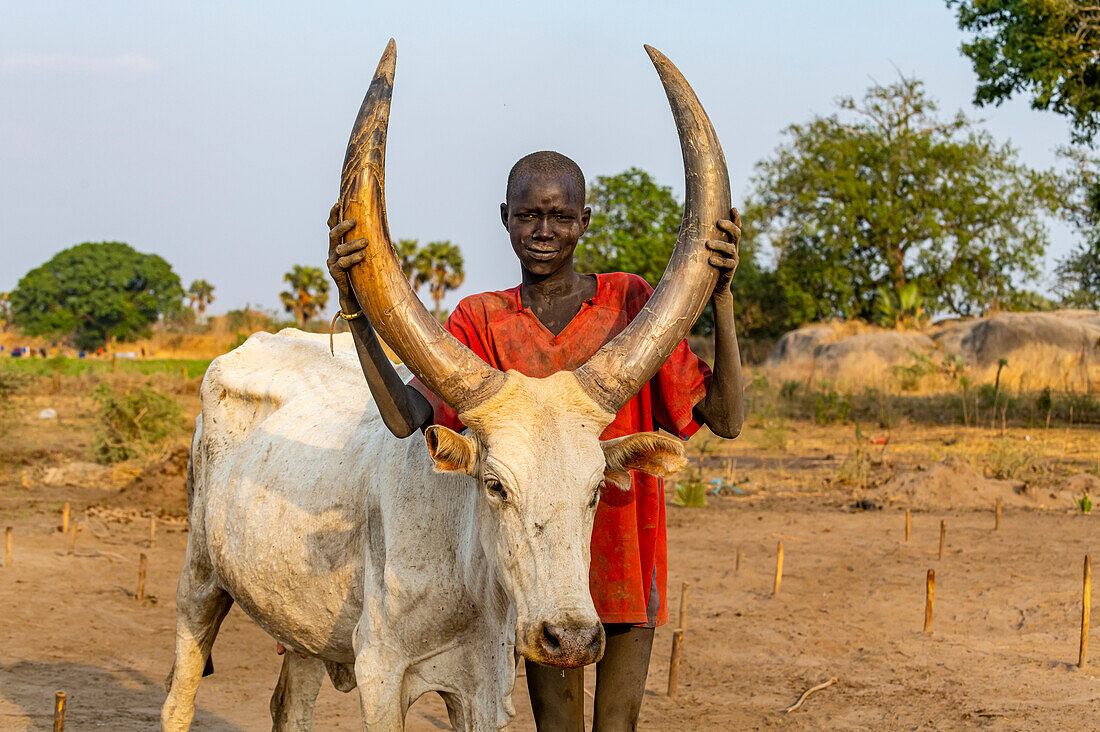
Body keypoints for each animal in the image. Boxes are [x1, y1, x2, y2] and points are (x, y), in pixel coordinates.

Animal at [160, 41, 730, 730]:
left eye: (598, 488)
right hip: (198, 577)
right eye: (495, 485)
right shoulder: (380, 673)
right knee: (180, 690)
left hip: (301, 629)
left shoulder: (484, 684)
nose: (569, 637)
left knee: (289, 703)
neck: (464, 572)